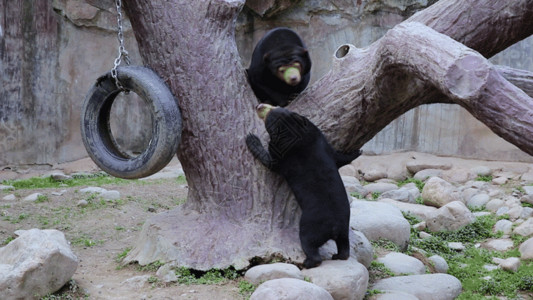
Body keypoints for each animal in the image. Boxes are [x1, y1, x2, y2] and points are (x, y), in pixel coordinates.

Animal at [246, 103, 362, 270]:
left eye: (269, 115)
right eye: (277, 106)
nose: (260, 105)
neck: (297, 134)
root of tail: (334, 227)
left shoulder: (282, 153)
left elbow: (271, 162)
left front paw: (251, 139)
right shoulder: (320, 141)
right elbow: (338, 156)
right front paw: (357, 151)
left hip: (310, 226)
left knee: (310, 244)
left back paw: (307, 263)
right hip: (344, 227)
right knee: (344, 245)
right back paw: (338, 255)